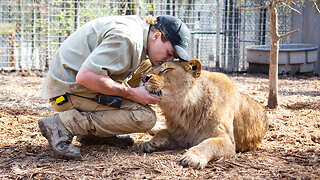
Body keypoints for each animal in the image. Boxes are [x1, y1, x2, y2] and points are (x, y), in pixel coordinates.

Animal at [137, 58, 268, 169]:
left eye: (167, 69)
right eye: (151, 70)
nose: (143, 78)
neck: (183, 110)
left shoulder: (227, 141)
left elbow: (209, 143)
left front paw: (192, 157)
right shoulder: (180, 136)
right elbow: (162, 132)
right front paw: (148, 143)